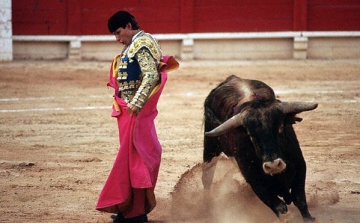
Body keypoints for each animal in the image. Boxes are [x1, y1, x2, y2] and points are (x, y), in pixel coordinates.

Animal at [204, 76, 316, 222]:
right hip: (210, 149)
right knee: (206, 178)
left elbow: (300, 200)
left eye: (280, 128)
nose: (273, 165)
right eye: (250, 135)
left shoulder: (300, 167)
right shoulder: (255, 181)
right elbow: (280, 207)